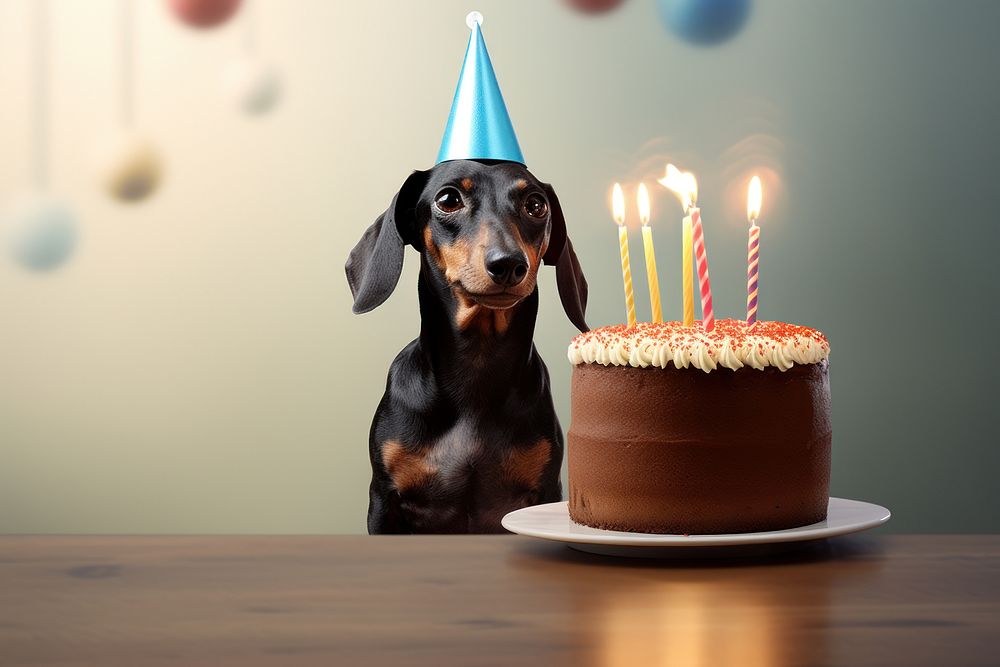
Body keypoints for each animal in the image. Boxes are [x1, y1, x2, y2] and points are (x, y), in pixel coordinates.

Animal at [348, 159, 588, 536]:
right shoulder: (384, 501)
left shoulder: (545, 490)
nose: (508, 264)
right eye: (448, 199)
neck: (476, 366)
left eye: (536, 205)